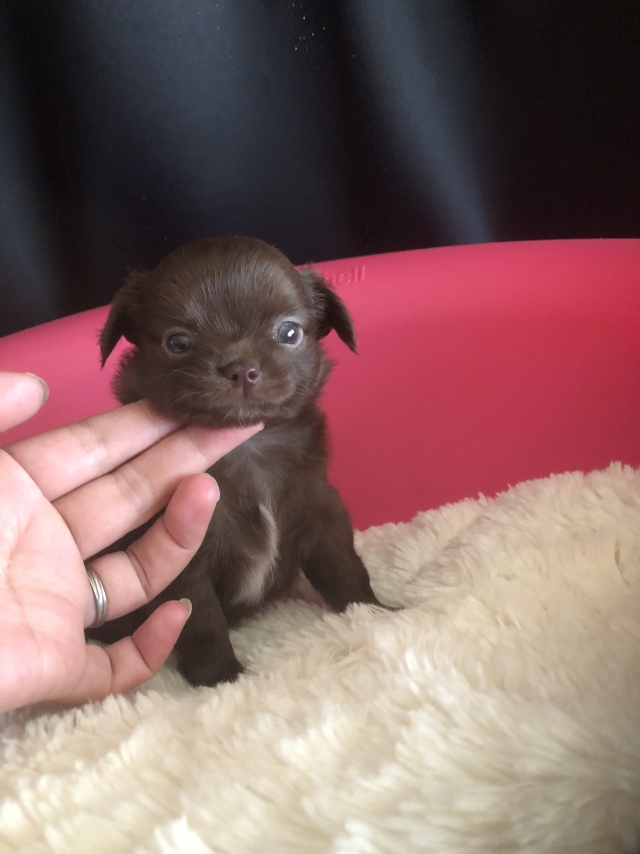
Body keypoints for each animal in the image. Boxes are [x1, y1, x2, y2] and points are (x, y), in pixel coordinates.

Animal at [88, 235, 388, 687]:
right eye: (177, 342)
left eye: (289, 332)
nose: (242, 368)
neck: (246, 447)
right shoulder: (184, 564)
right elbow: (201, 621)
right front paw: (221, 680)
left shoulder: (321, 514)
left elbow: (344, 567)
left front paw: (377, 613)